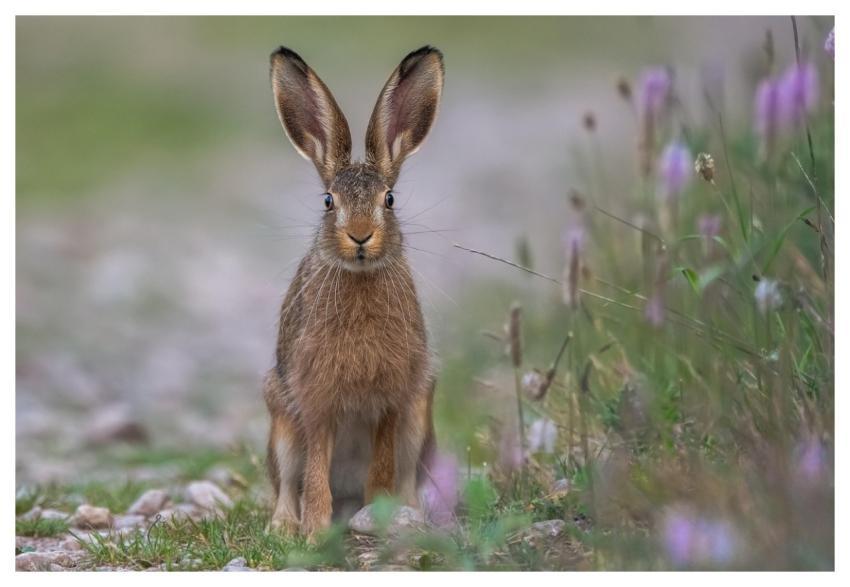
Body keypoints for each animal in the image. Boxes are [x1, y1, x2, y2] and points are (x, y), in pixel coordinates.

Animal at [262, 45, 444, 539]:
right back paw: (284, 526)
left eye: (389, 201)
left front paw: (378, 515)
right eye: (329, 201)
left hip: (419, 419)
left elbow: (381, 468)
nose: (360, 236)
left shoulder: (392, 402)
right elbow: (314, 472)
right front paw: (314, 531)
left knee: (407, 475)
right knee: (286, 481)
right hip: (280, 420)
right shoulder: (315, 401)